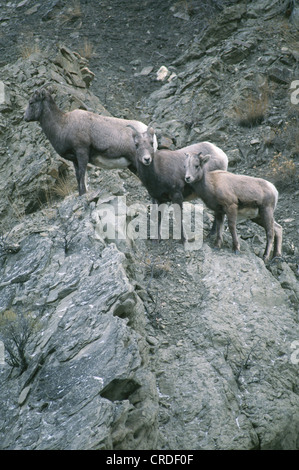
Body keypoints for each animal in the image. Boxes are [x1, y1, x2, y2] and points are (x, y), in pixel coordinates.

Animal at [24, 87, 158, 195]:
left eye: (31, 102)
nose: (25, 118)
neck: (62, 125)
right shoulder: (75, 159)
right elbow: (78, 176)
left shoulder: (82, 152)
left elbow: (82, 174)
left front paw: (83, 193)